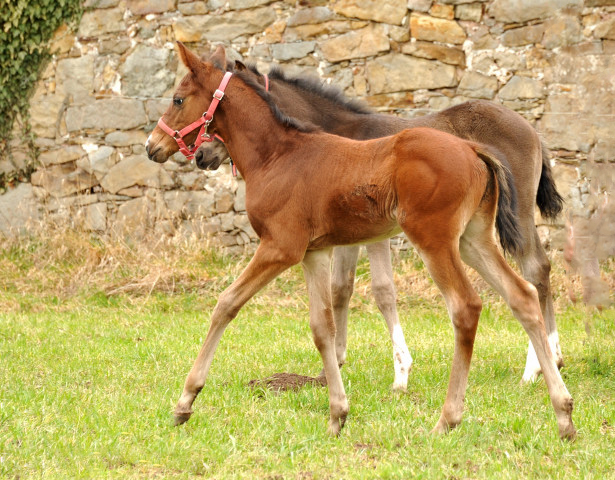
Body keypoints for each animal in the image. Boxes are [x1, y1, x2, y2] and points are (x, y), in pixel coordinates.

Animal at [146, 44, 576, 438]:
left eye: (178, 99)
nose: (154, 147)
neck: (278, 155)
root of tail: (474, 148)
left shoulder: (280, 247)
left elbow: (226, 304)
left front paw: (186, 401)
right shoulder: (316, 251)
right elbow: (323, 324)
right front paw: (338, 412)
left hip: (436, 239)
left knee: (469, 304)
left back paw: (451, 417)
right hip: (474, 239)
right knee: (523, 294)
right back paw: (563, 412)